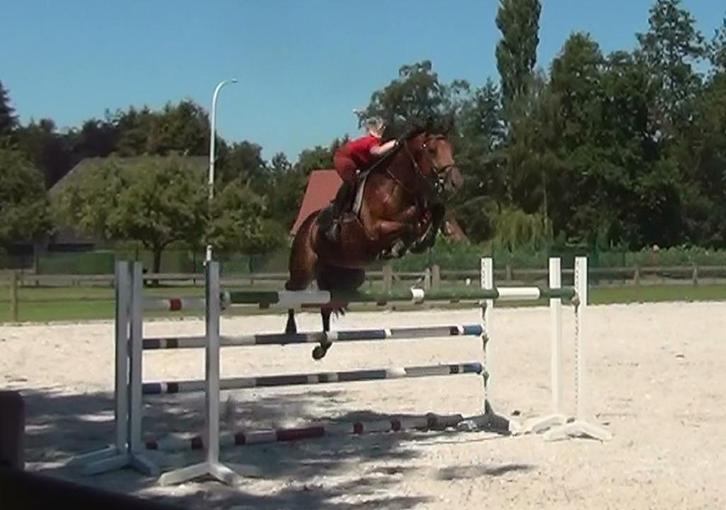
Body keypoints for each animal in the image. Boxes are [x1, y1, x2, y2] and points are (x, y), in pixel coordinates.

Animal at [284, 128, 464, 359]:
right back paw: (290, 330)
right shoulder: (376, 228)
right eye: (432, 150)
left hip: (346, 274)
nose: (456, 182)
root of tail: (305, 226)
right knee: (290, 289)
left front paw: (424, 239)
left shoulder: (419, 209)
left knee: (327, 305)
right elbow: (408, 225)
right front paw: (403, 245)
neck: (396, 187)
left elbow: (433, 211)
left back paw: (322, 347)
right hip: (303, 268)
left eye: (450, 148)